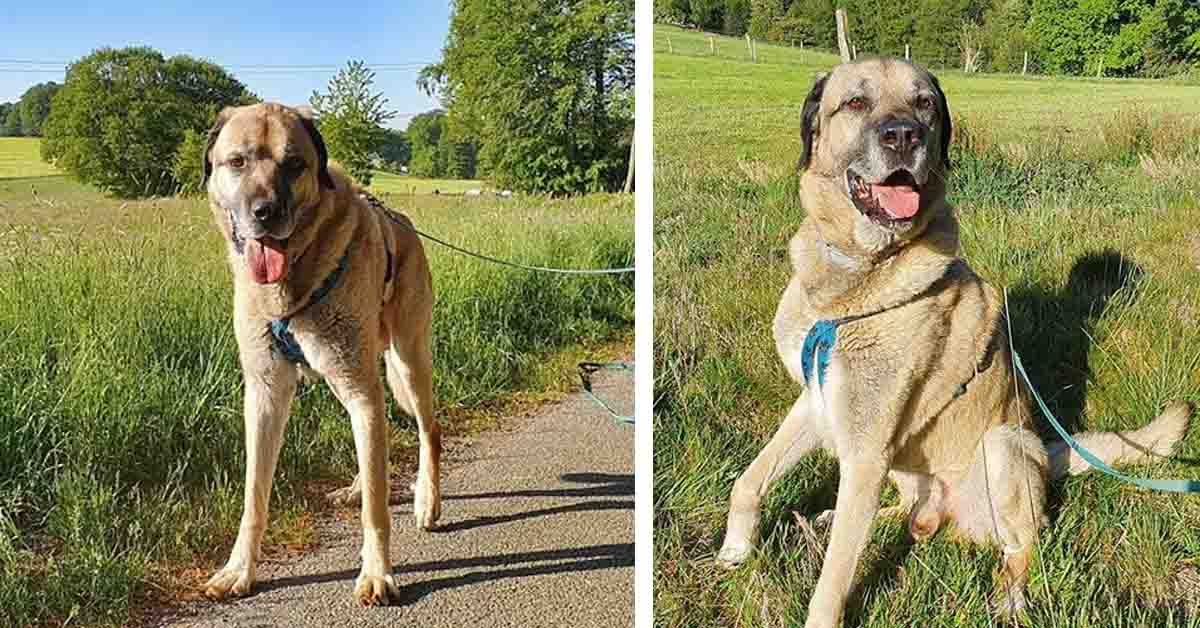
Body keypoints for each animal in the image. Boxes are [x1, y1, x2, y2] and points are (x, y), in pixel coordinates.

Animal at [199, 103, 444, 605]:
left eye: (294, 164)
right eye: (237, 162)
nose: (266, 213)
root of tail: (404, 223)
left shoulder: (360, 385)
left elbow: (376, 511)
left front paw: (377, 572)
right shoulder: (265, 394)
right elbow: (254, 495)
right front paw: (239, 569)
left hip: (407, 360)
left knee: (428, 430)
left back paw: (427, 500)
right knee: (380, 439)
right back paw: (357, 487)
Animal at [710, 56, 1190, 624]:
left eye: (924, 104)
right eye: (855, 102)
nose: (904, 136)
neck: (858, 276)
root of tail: (1047, 456)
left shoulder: (865, 449)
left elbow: (832, 580)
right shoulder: (820, 402)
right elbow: (749, 480)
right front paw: (735, 548)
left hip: (1001, 447)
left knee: (1023, 544)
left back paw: (1009, 596)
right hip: (902, 468)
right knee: (899, 510)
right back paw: (866, 518)